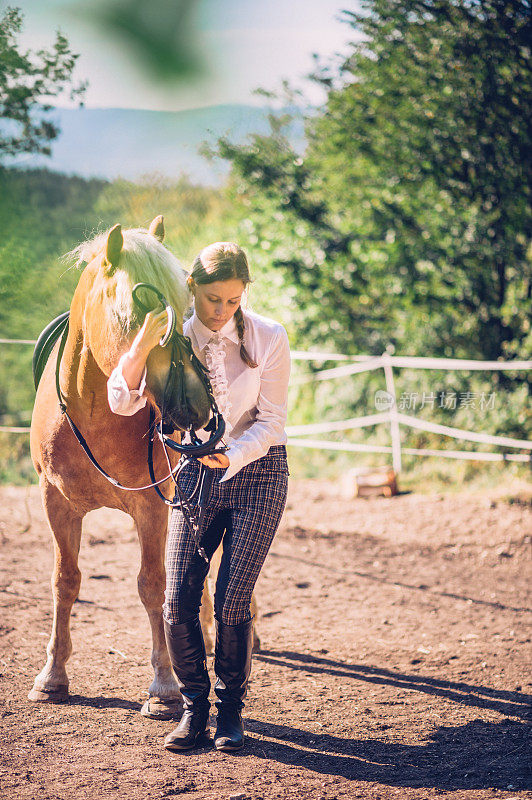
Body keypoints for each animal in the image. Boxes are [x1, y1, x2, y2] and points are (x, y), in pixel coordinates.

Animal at [28, 214, 215, 720]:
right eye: (146, 307)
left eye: (185, 305)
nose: (197, 405)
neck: (97, 410)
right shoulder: (57, 503)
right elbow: (65, 581)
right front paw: (52, 677)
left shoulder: (153, 508)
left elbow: (153, 586)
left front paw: (165, 686)